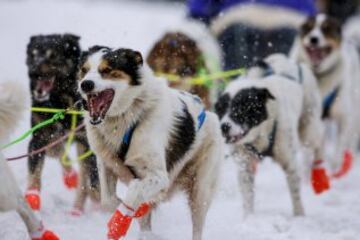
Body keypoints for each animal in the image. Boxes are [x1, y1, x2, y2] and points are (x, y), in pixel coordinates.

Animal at [77, 46, 221, 239]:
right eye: (84, 70)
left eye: (106, 70)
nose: (85, 84)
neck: (128, 115)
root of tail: (207, 112)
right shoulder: (107, 163)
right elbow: (108, 200)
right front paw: (125, 208)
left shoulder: (159, 177)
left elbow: (135, 191)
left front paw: (120, 220)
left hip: (200, 190)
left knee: (197, 224)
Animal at [215, 54, 324, 216]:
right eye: (220, 110)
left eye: (240, 108)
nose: (224, 127)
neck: (260, 134)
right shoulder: (244, 165)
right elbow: (247, 196)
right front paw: (248, 218)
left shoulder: (289, 162)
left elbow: (295, 194)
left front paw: (299, 216)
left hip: (308, 128)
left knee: (319, 142)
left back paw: (320, 176)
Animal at [292, 14, 360, 172]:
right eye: (308, 27)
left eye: (326, 29)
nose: (313, 39)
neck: (319, 76)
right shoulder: (310, 118)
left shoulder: (344, 118)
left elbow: (340, 145)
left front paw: (335, 167)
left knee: (350, 140)